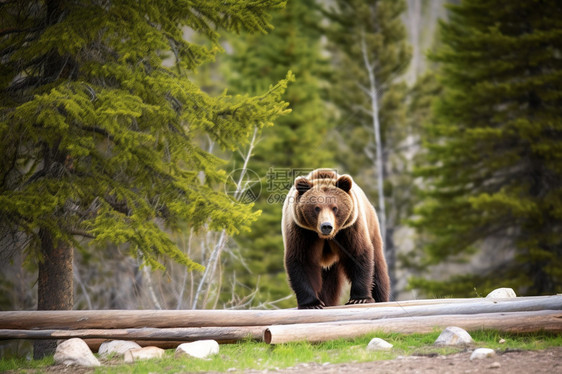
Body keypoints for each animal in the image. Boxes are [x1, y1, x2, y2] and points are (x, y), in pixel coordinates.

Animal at [280, 168, 390, 308]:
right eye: (316, 208)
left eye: (335, 207)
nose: (326, 226)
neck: (325, 237)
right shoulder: (301, 231)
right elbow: (301, 260)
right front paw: (312, 303)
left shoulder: (349, 229)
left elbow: (358, 253)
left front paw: (359, 298)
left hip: (372, 228)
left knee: (378, 270)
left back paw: (381, 298)